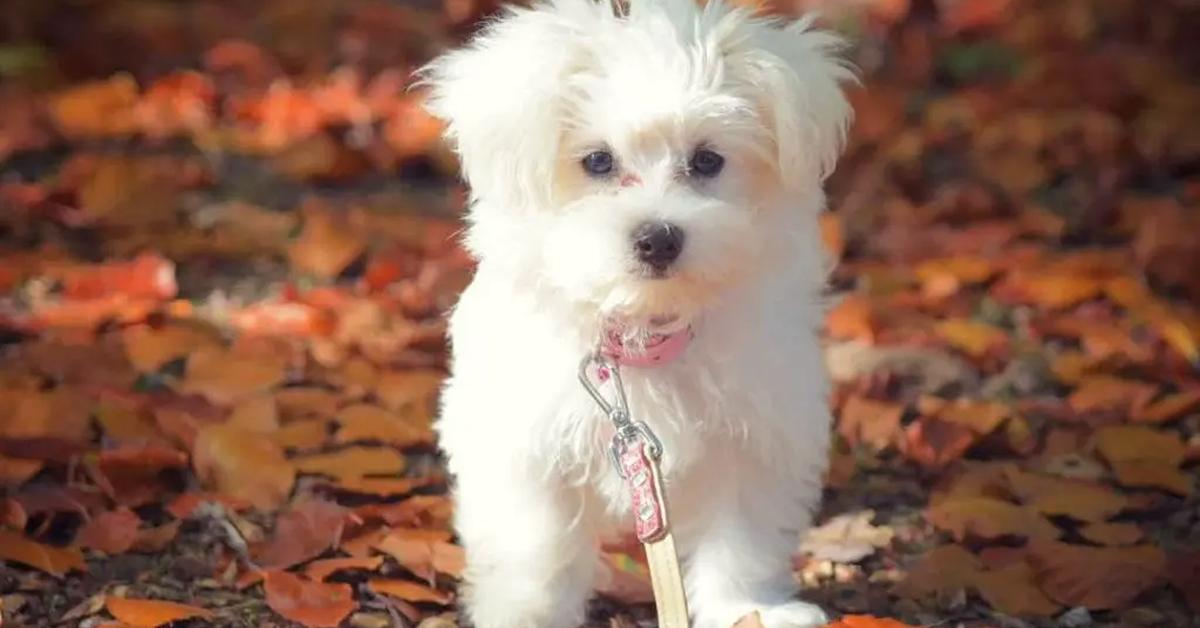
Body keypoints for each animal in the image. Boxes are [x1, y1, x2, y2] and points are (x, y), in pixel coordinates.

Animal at [422, 2, 854, 624]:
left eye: (707, 160)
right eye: (598, 161)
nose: (659, 238)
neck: (645, 332)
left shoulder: (757, 429)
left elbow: (741, 537)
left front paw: (747, 608)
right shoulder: (522, 438)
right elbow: (536, 546)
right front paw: (528, 611)